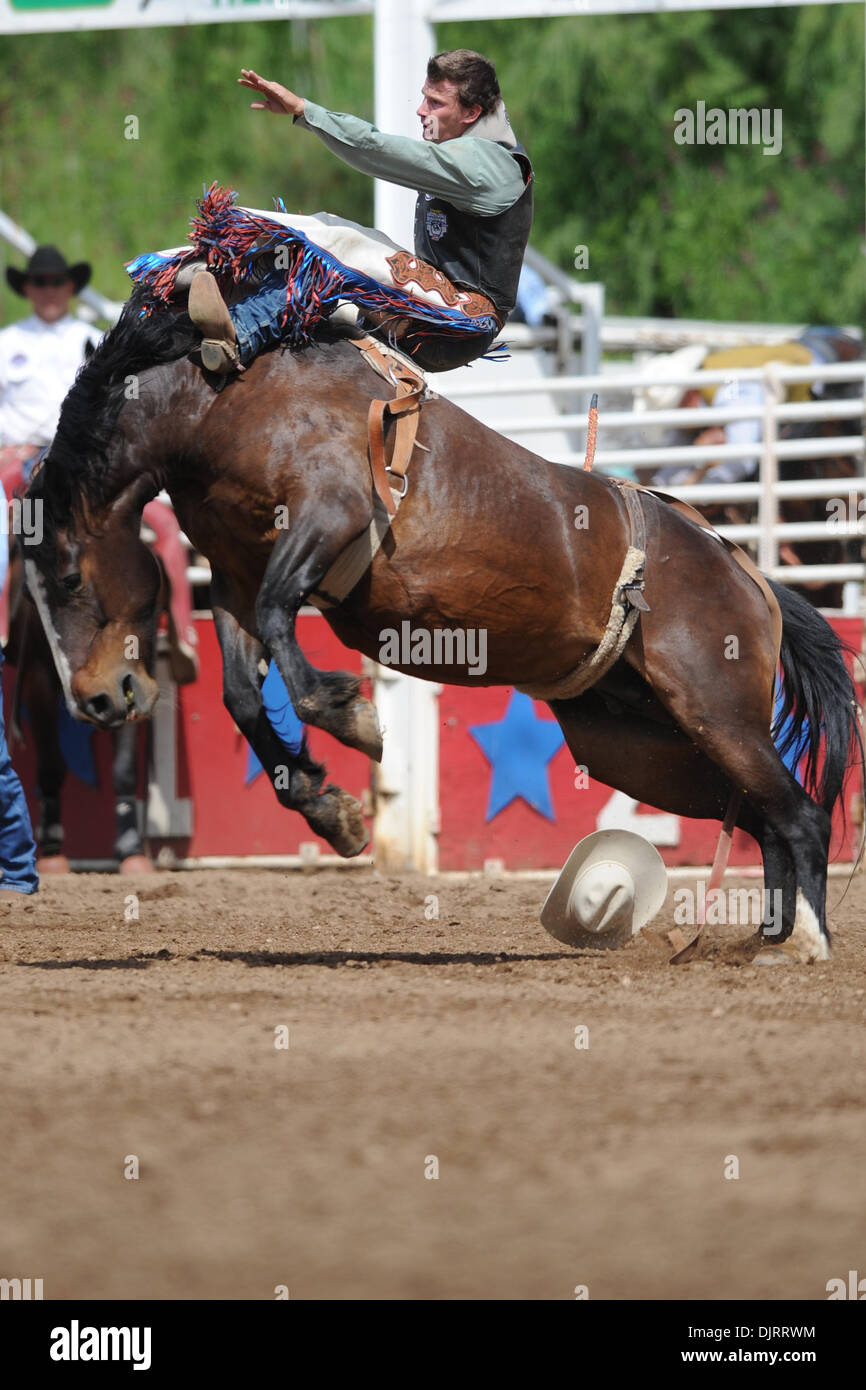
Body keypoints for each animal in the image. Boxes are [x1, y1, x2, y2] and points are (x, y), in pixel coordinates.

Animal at [23, 290, 861, 967]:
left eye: (67, 577)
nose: (95, 700)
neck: (224, 400)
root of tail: (748, 573)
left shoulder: (330, 514)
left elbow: (283, 630)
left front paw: (352, 717)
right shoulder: (231, 577)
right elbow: (240, 693)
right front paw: (332, 810)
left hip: (717, 711)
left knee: (800, 814)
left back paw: (808, 943)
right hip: (640, 746)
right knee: (764, 818)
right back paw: (767, 939)